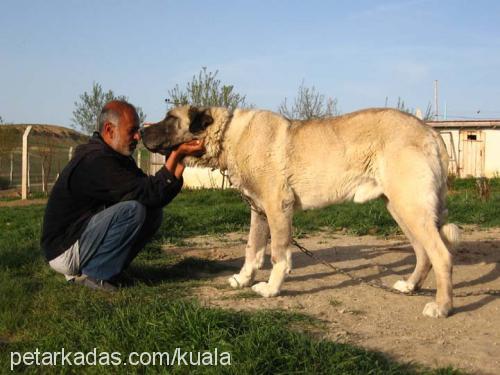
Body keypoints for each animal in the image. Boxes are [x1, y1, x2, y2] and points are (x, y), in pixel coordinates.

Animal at [142, 105, 460, 318]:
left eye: (171, 119)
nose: (141, 130)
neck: (230, 135)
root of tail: (431, 131)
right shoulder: (259, 211)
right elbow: (252, 249)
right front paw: (243, 280)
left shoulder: (277, 208)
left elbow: (278, 255)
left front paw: (271, 289)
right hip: (401, 209)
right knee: (424, 253)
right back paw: (410, 285)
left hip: (411, 207)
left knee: (441, 255)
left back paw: (442, 307)